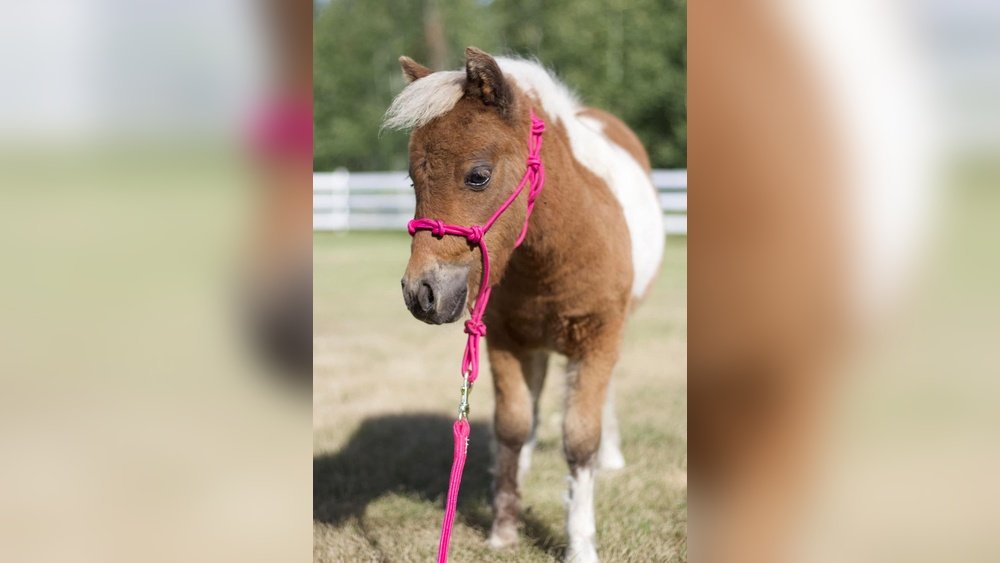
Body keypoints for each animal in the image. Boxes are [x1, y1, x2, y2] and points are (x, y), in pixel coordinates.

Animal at [384, 47, 664, 562]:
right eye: (413, 181)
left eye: (478, 176)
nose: (421, 294)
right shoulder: (507, 339)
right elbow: (513, 426)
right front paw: (504, 527)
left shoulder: (598, 339)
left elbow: (580, 438)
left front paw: (580, 544)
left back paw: (611, 457)